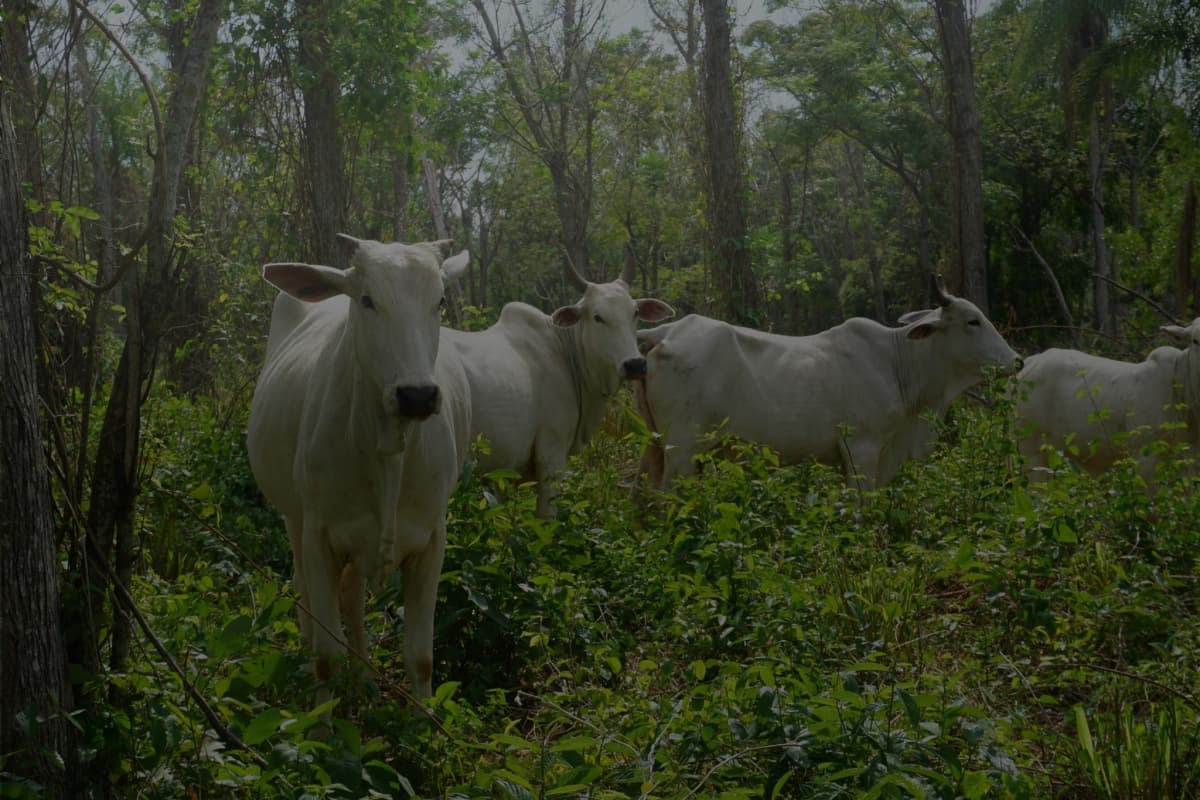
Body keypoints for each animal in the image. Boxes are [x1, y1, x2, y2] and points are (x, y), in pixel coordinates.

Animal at [246, 234, 470, 700]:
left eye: (439, 301)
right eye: (368, 300)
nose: (416, 395)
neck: (388, 448)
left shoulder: (431, 540)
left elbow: (421, 658)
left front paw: (426, 719)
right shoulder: (318, 535)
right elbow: (326, 658)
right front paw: (321, 717)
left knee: (351, 597)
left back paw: (365, 678)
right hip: (293, 518)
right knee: (308, 595)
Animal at [441, 257, 674, 516]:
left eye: (635, 313)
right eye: (597, 317)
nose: (634, 364)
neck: (565, 351)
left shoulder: (501, 469)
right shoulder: (551, 454)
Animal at [635, 276, 1021, 489]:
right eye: (972, 321)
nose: (1017, 360)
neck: (897, 364)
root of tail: (664, 332)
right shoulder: (861, 448)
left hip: (658, 447)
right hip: (682, 450)